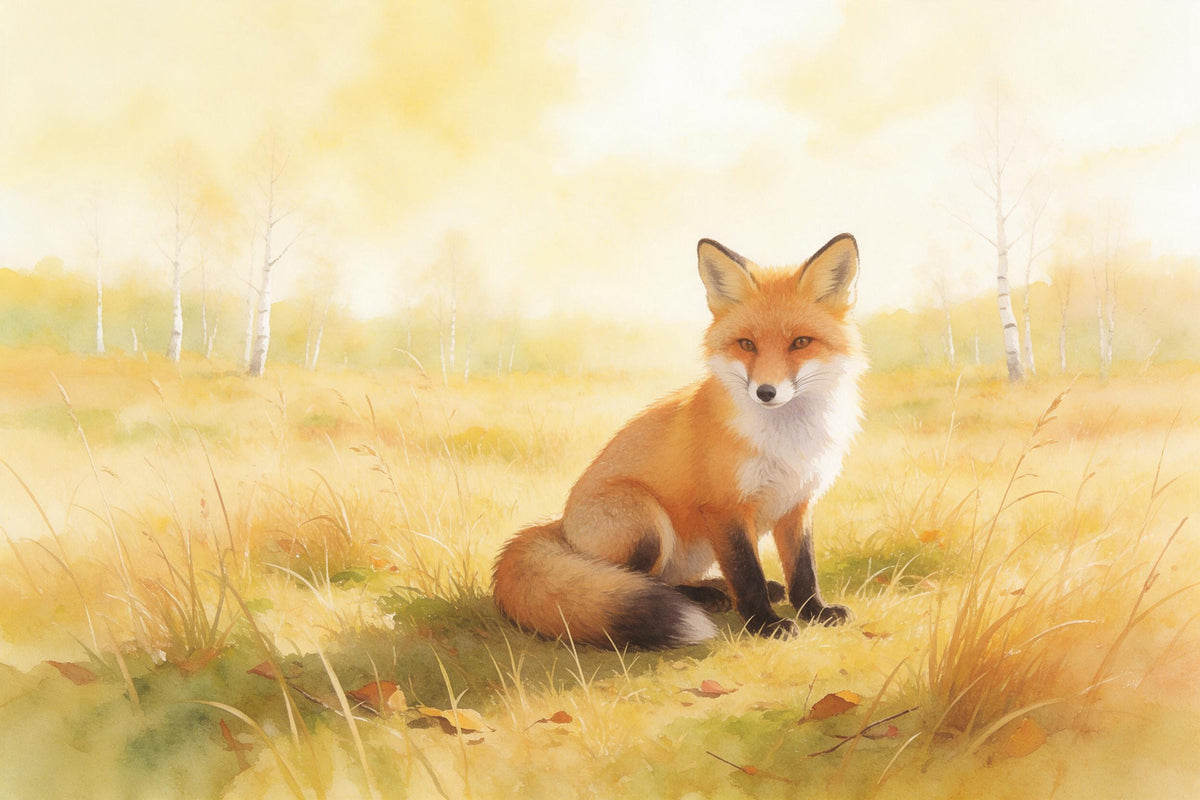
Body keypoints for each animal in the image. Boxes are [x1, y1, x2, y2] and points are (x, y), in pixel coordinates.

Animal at [492, 234, 867, 649]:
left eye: (801, 342)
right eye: (746, 344)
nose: (765, 392)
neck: (787, 441)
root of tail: (560, 526)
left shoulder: (797, 502)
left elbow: (803, 570)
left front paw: (815, 611)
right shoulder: (725, 506)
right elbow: (747, 574)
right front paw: (764, 624)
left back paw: (720, 589)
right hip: (645, 521)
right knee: (637, 581)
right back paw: (703, 597)